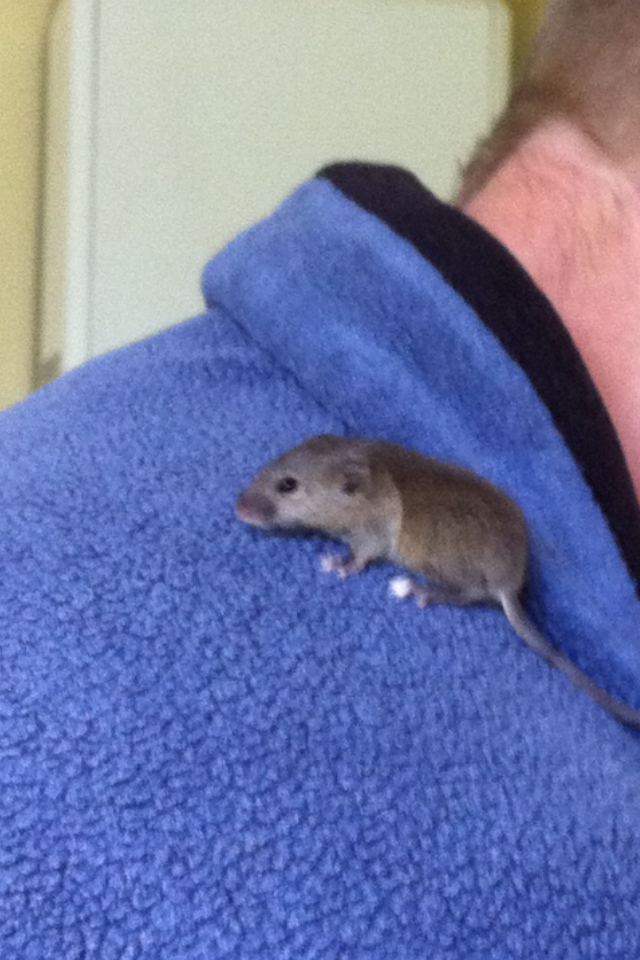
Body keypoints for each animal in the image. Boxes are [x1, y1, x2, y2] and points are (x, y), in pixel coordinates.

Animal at [236, 434, 640, 730]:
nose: (239, 508)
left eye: (288, 485)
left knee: (469, 594)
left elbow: (360, 558)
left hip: (444, 558)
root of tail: (509, 583)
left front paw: (337, 564)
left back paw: (419, 590)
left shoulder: (371, 534)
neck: (365, 468)